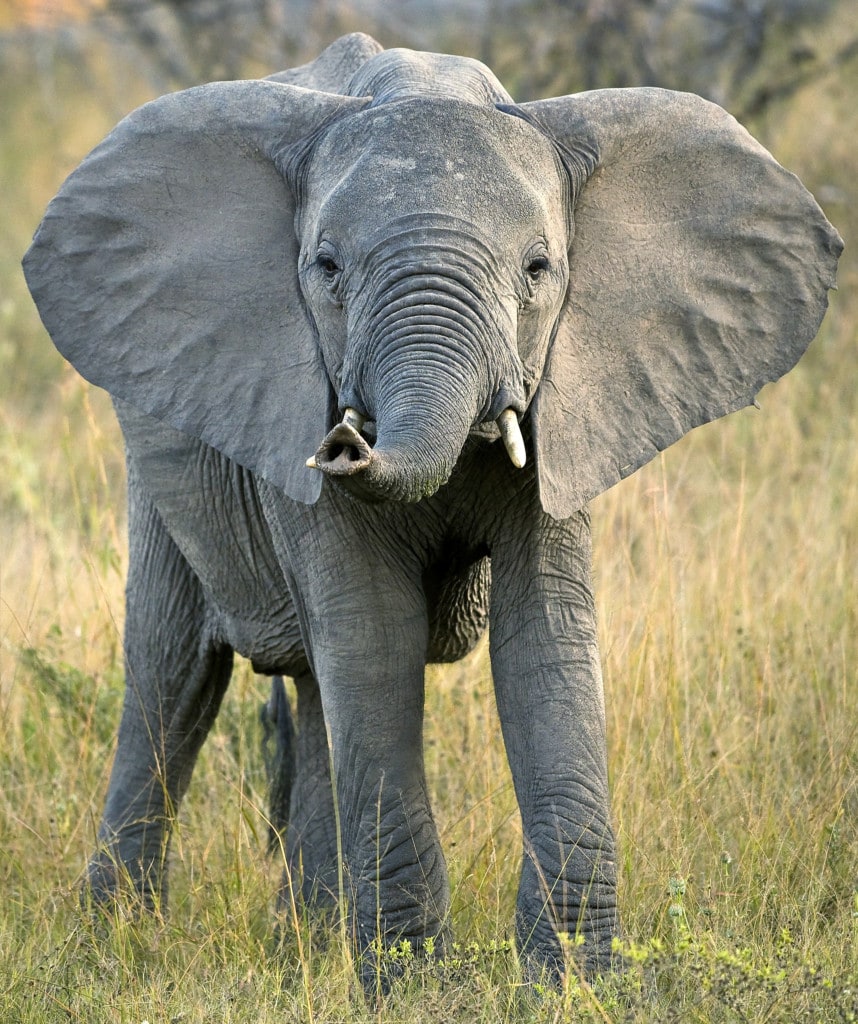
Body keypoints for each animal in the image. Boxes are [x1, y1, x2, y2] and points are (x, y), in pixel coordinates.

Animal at [23, 32, 841, 986]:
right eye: (327, 270)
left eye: (539, 271)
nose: (343, 442)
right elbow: (374, 638)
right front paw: (413, 982)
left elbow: (546, 639)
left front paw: (570, 982)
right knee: (172, 672)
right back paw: (116, 945)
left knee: (306, 689)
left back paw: (306, 939)